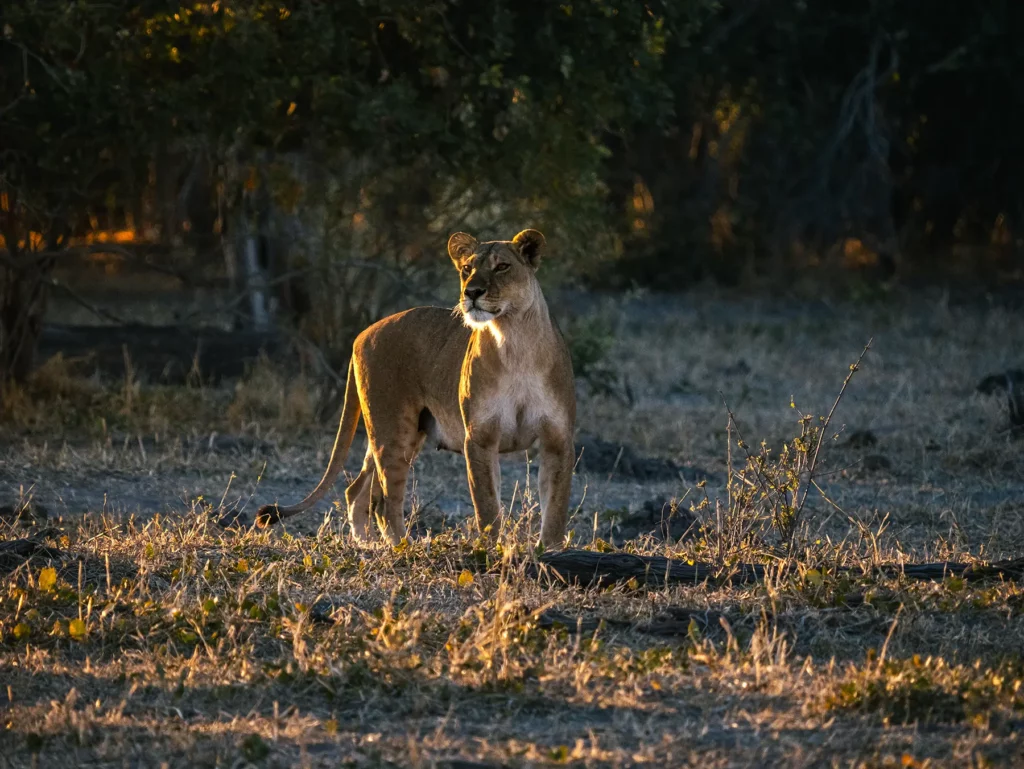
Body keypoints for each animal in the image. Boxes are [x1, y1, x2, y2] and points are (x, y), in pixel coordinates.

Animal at [255, 229, 577, 549]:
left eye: (502, 267)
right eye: (467, 269)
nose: (471, 292)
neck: (513, 341)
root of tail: (362, 334)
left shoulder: (557, 439)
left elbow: (556, 506)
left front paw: (550, 551)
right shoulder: (480, 438)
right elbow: (486, 505)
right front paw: (492, 549)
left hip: (400, 434)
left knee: (358, 490)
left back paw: (367, 545)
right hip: (394, 431)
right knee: (385, 502)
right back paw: (401, 547)